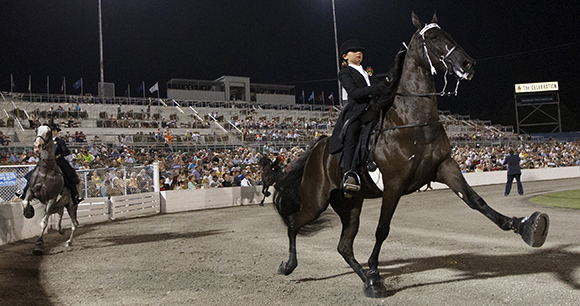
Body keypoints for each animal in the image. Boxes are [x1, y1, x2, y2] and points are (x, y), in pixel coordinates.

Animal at [22, 124, 79, 256]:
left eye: (48, 132)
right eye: (36, 130)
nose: (37, 146)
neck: (46, 171)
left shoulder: (51, 200)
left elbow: (44, 222)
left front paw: (38, 246)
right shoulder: (31, 191)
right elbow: (25, 201)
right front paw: (28, 212)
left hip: (71, 206)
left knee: (74, 224)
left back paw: (68, 242)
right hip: (59, 206)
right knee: (60, 216)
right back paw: (61, 230)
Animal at [272, 13, 548, 298]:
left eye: (447, 33)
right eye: (433, 37)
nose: (467, 63)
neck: (413, 122)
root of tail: (317, 149)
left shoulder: (445, 167)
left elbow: (475, 200)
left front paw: (526, 227)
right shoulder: (394, 183)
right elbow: (382, 229)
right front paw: (375, 273)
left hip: (350, 204)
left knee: (344, 246)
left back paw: (365, 280)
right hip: (316, 201)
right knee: (294, 222)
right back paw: (290, 266)